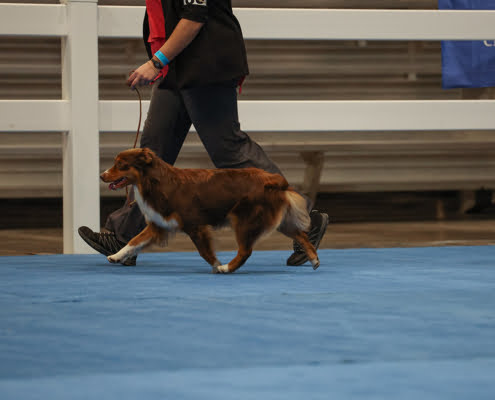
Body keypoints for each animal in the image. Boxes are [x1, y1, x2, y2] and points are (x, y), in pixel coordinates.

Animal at [100, 148, 322, 274]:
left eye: (120, 165)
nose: (101, 175)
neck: (156, 181)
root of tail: (273, 178)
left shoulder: (195, 226)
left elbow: (204, 251)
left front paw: (216, 264)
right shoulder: (159, 225)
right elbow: (134, 241)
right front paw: (117, 256)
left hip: (244, 219)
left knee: (246, 250)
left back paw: (227, 268)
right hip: (277, 221)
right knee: (301, 235)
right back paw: (314, 259)